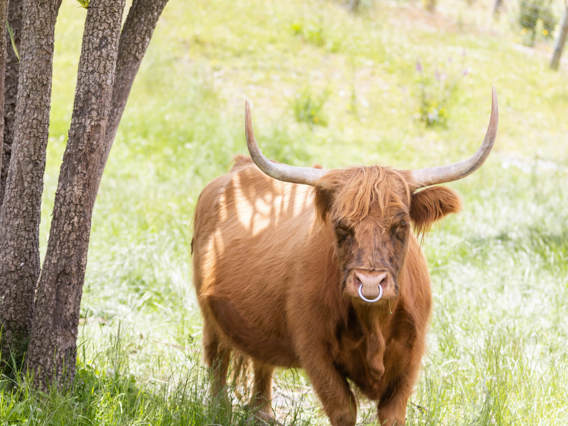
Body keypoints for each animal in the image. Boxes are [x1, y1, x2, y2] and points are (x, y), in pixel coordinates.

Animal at [192, 90, 496, 426]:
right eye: (340, 225)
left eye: (401, 225)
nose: (370, 283)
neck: (373, 324)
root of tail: (239, 168)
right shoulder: (315, 351)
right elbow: (343, 408)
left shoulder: (411, 356)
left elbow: (393, 413)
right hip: (209, 313)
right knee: (217, 356)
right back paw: (218, 407)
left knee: (262, 361)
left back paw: (263, 412)